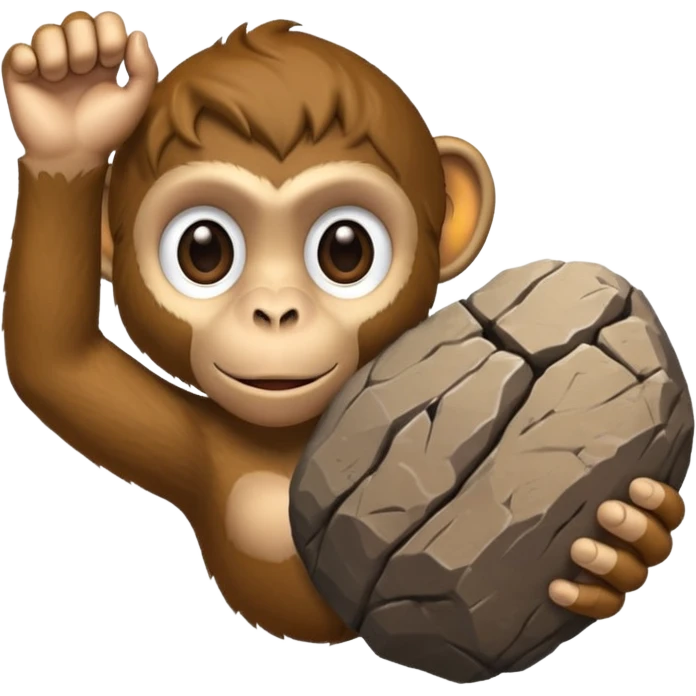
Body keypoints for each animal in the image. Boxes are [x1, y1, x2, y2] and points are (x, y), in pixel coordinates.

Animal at [1, 11, 686, 651]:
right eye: (204, 251)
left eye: (346, 250)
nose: (276, 312)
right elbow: (56, 363)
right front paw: (71, 93)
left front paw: (623, 546)